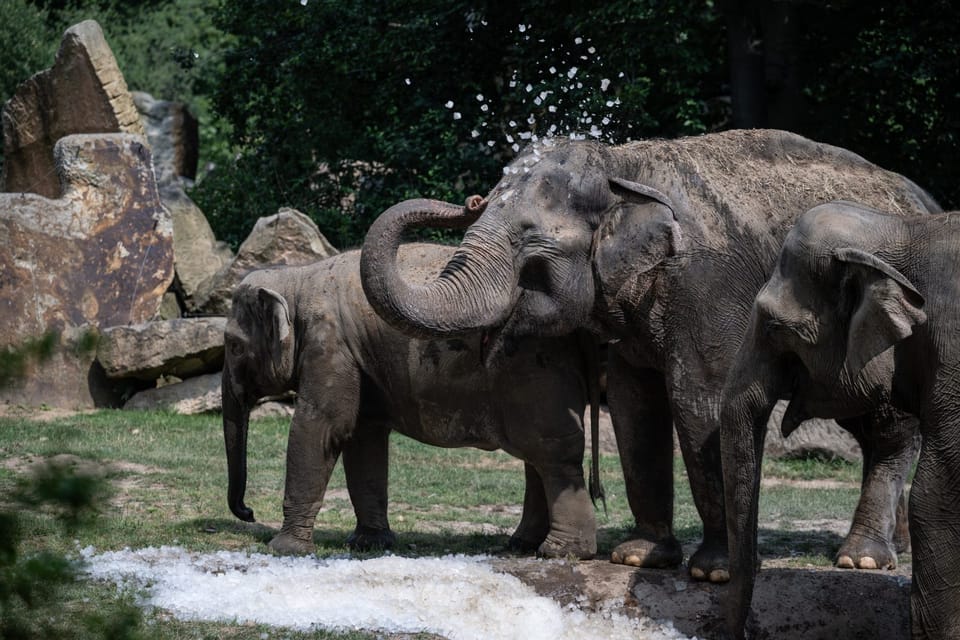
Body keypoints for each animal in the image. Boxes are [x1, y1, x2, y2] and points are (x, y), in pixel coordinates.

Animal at [223, 242, 600, 556]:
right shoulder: (358, 356)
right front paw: (370, 544)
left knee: (551, 452)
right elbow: (363, 437)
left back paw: (558, 551)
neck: (298, 279)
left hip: (535, 369)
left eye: (233, 346)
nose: (249, 512)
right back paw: (522, 545)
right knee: (537, 455)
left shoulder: (329, 345)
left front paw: (284, 549)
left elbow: (321, 426)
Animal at [360, 129, 936, 580]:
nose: (471, 198)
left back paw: (862, 560)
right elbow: (636, 407)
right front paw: (638, 557)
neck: (624, 166)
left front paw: (714, 572)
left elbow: (700, 402)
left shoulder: (709, 286)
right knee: (866, 420)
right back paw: (890, 549)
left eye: (528, 241)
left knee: (888, 423)